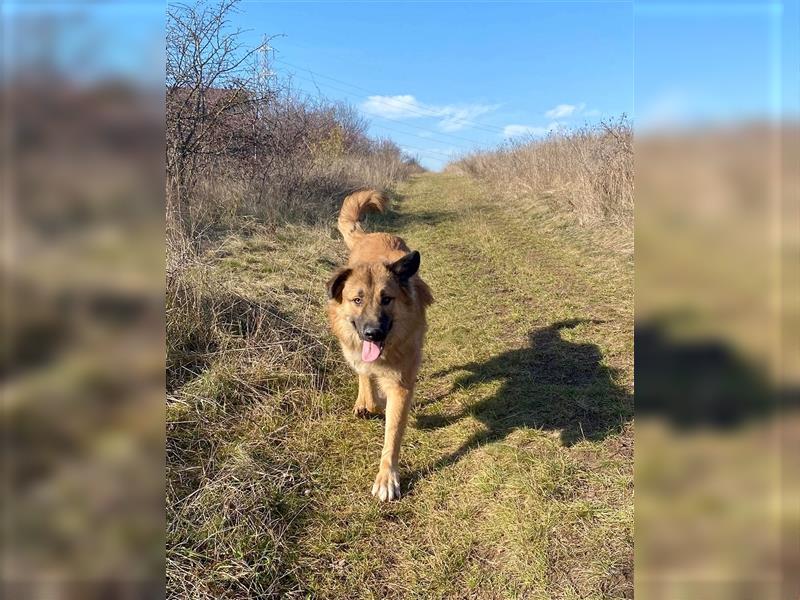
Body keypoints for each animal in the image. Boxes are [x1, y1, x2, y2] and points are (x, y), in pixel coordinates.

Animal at [324, 190, 432, 500]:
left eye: (387, 299)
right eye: (357, 300)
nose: (372, 333)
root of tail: (371, 235)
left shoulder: (401, 382)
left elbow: (392, 434)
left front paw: (387, 477)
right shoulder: (361, 354)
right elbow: (370, 386)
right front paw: (370, 401)